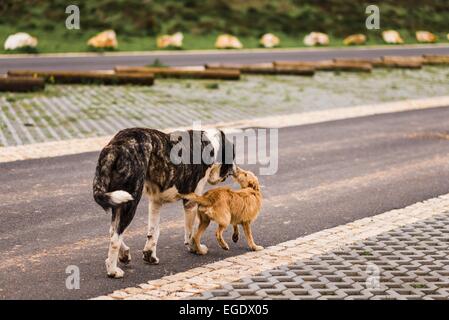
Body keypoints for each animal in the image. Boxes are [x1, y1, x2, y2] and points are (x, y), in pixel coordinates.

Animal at [93, 127, 236, 278]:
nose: (235, 169)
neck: (210, 144)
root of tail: (116, 146)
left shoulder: (155, 203)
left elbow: (153, 232)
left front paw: (150, 256)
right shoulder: (190, 203)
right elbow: (191, 233)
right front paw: (196, 249)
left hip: (119, 202)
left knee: (112, 231)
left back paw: (123, 255)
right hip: (130, 202)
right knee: (115, 237)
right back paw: (113, 270)